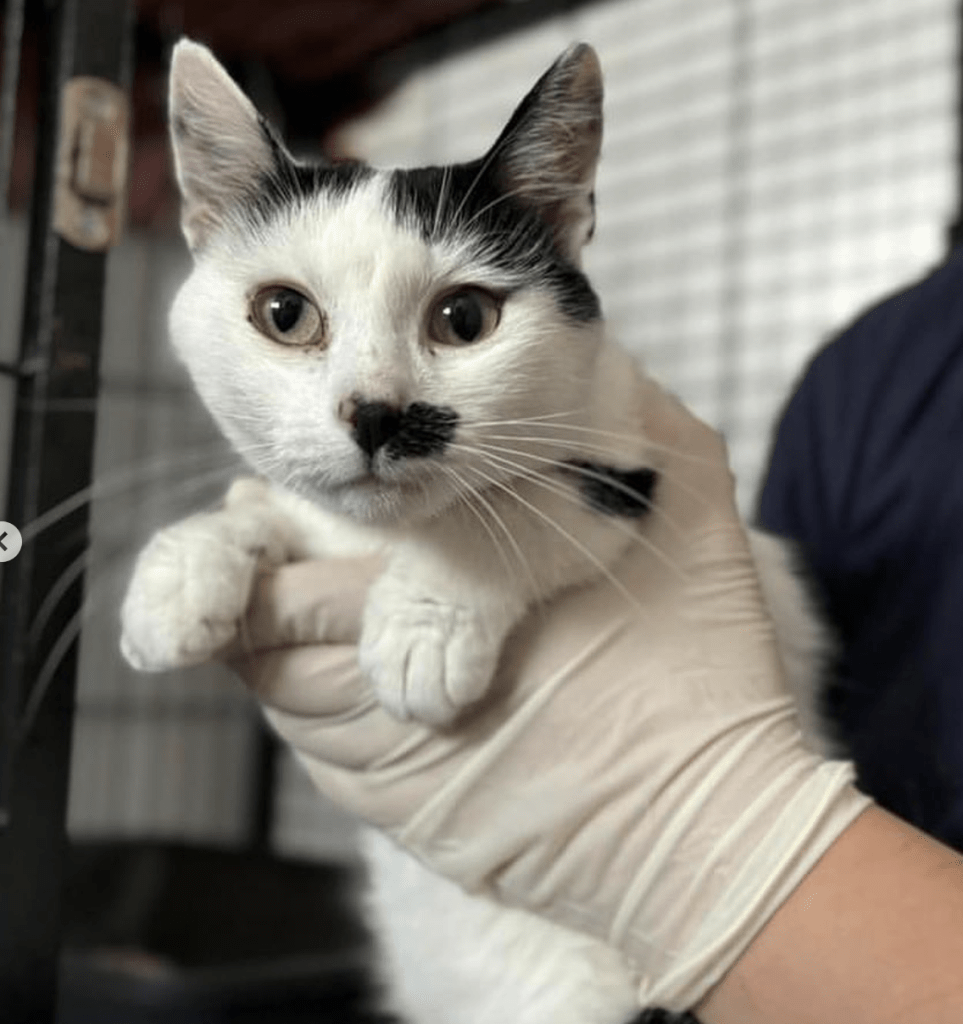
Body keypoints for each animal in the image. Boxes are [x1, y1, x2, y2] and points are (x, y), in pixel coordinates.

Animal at [118, 39, 827, 1024]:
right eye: (283, 313)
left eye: (465, 319)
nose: (375, 413)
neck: (379, 540)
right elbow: (262, 506)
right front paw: (185, 572)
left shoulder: (630, 466)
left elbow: (508, 512)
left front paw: (424, 627)